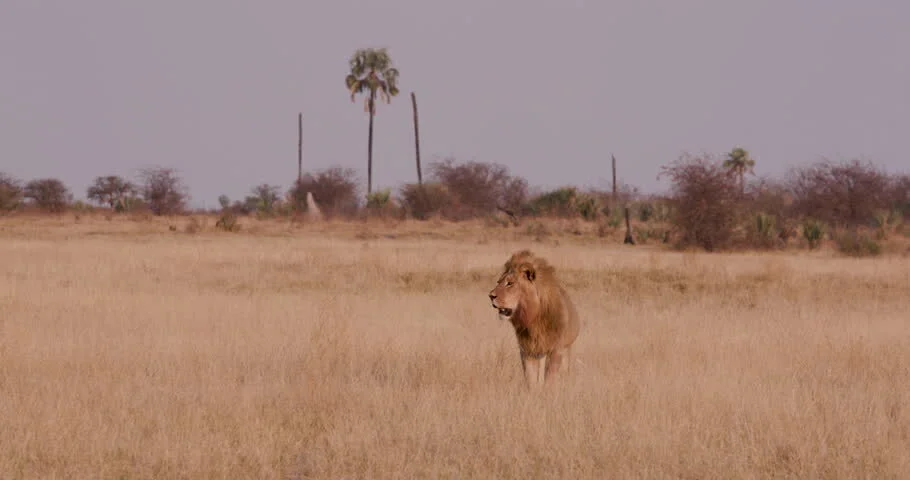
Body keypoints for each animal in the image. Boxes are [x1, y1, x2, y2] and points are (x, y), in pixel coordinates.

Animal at [488, 250, 581, 389]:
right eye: (498, 282)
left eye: (510, 283)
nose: (490, 296)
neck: (534, 318)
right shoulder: (527, 351)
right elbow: (531, 379)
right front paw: (533, 392)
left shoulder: (556, 350)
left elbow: (550, 379)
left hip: (565, 349)